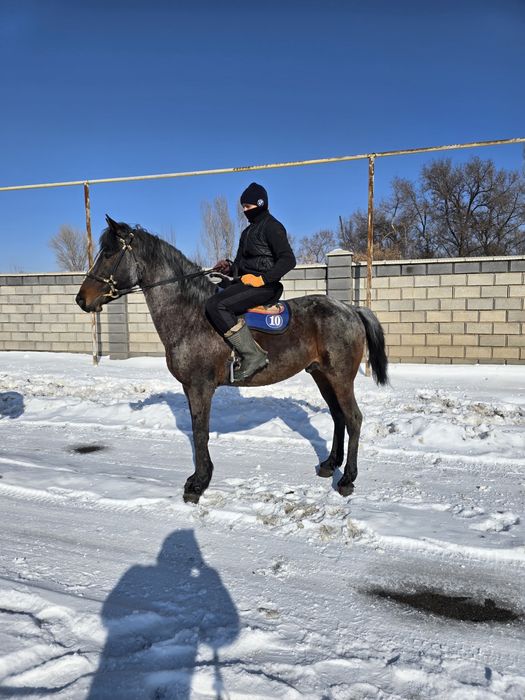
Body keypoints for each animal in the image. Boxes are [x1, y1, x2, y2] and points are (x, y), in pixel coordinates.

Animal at [76, 216, 388, 504]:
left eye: (109, 254)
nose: (81, 299)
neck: (191, 315)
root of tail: (350, 309)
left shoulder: (199, 387)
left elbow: (199, 432)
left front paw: (198, 483)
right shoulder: (192, 388)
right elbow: (198, 431)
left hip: (340, 377)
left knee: (353, 419)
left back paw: (347, 479)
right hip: (322, 376)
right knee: (338, 417)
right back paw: (329, 465)